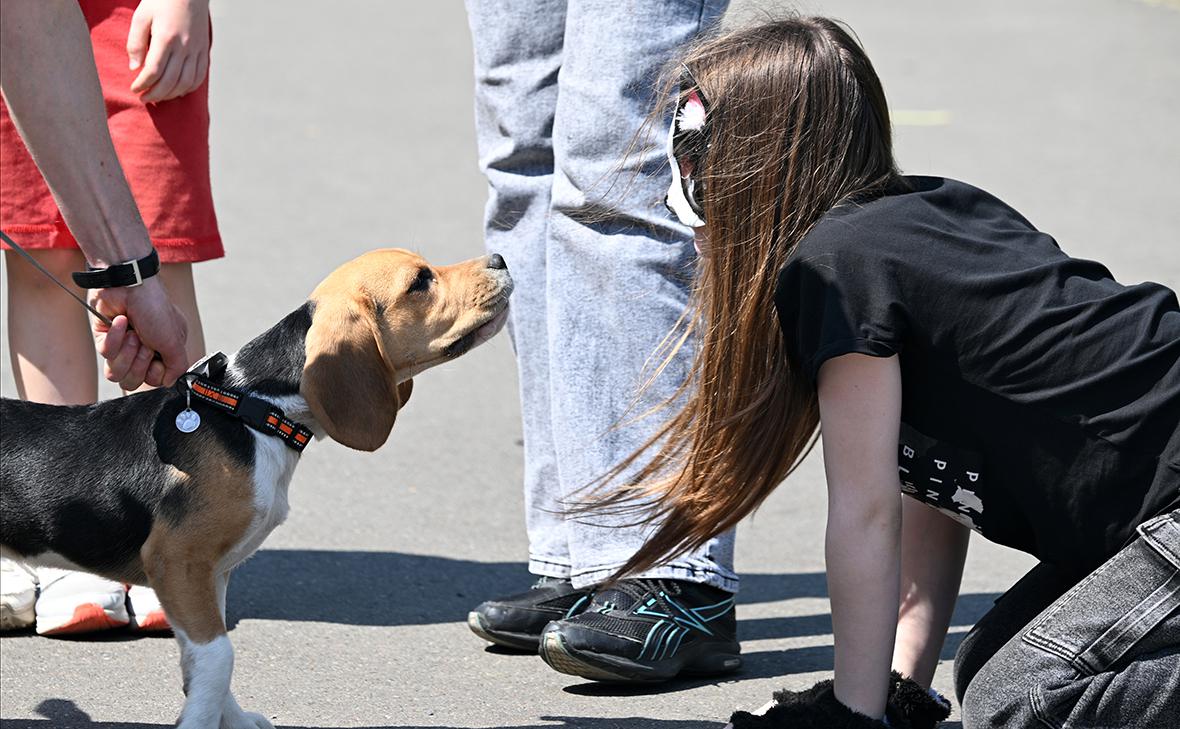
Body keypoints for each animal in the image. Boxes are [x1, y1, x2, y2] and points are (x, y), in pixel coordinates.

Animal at [0, 248, 512, 726]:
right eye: (420, 281)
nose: (500, 259)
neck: (255, 410)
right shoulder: (178, 561)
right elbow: (219, 656)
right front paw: (200, 723)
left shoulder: (209, 575)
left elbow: (203, 664)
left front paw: (233, 719)